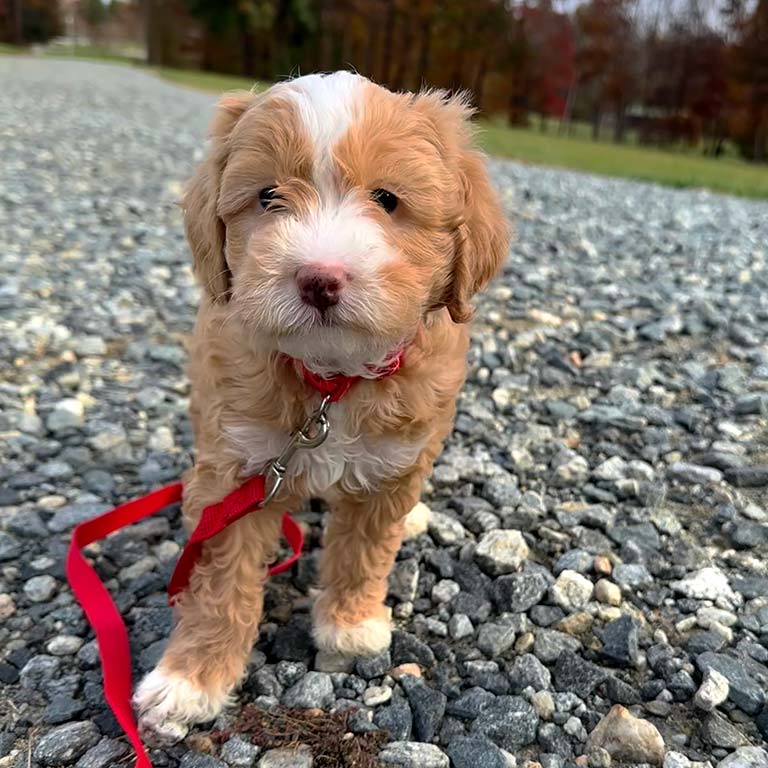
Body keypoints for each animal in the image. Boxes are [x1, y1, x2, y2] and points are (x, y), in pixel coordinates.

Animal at [135, 72, 510, 744]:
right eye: (268, 196)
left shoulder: (391, 462)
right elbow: (220, 584)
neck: (331, 383)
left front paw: (350, 625)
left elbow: (365, 548)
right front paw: (190, 680)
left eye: (387, 199)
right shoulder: (237, 470)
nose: (320, 277)